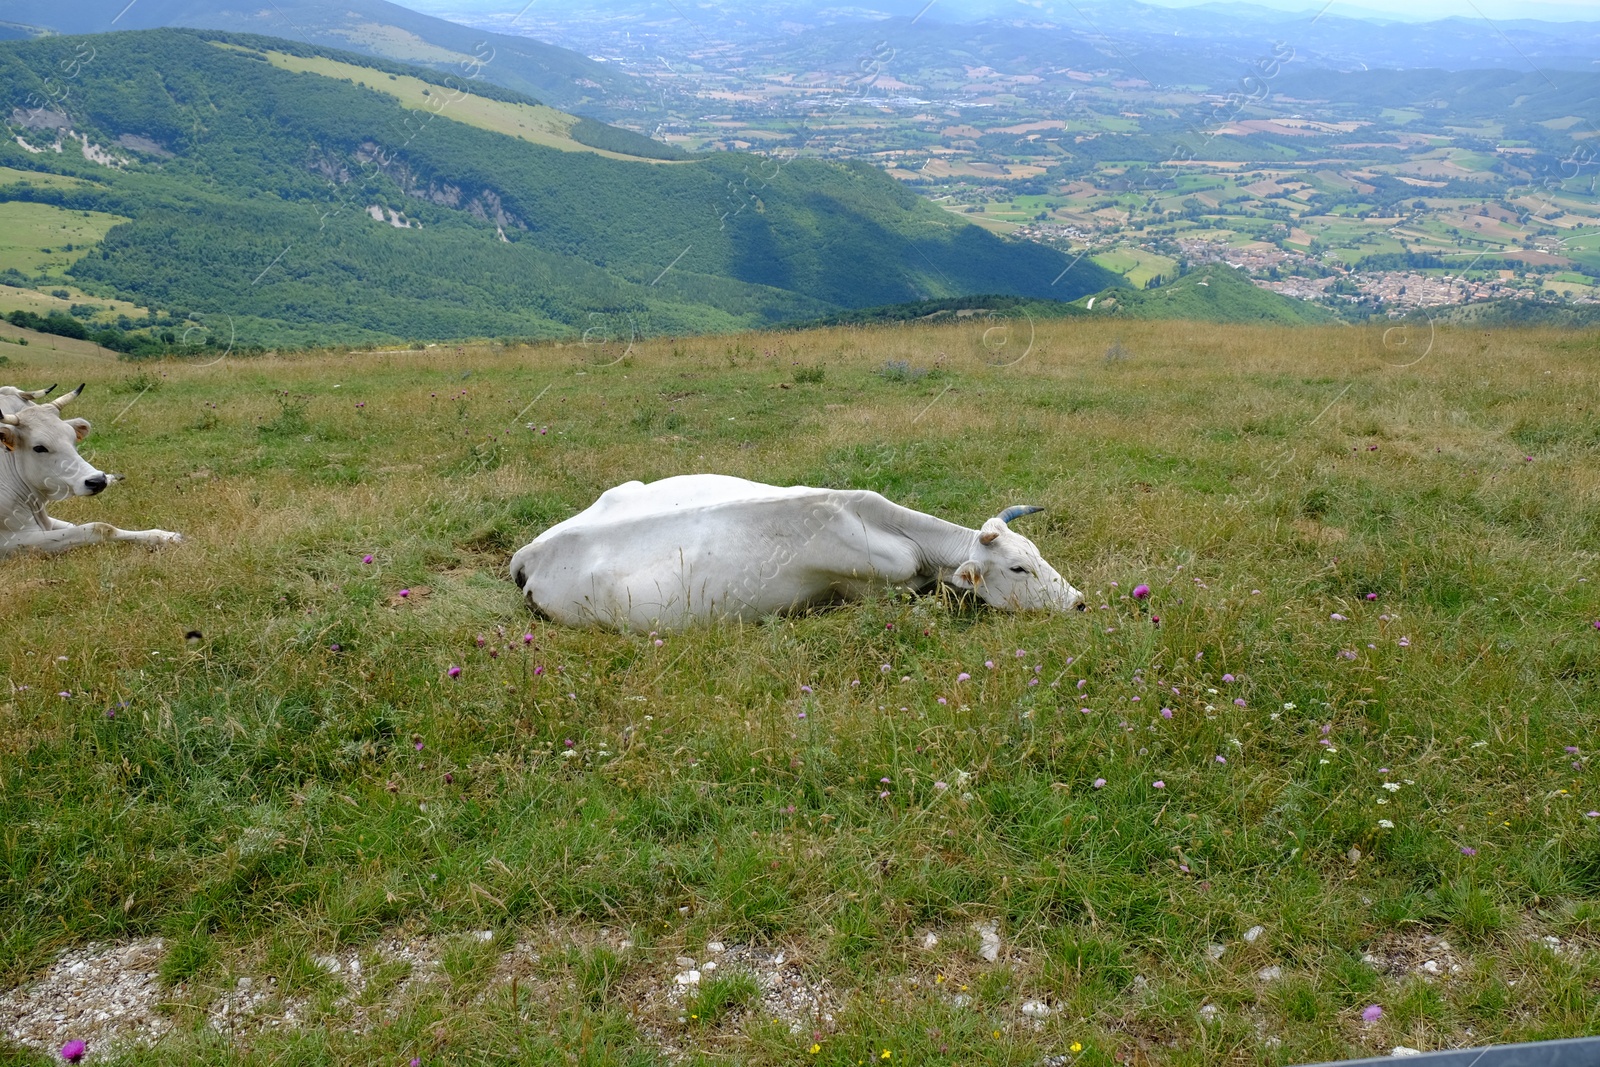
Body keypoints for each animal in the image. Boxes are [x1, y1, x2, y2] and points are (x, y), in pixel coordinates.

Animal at [0, 388, 183, 563]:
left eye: (73, 438)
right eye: (39, 447)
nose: (98, 480)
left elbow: (78, 525)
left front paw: (164, 536)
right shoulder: (10, 542)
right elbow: (100, 528)